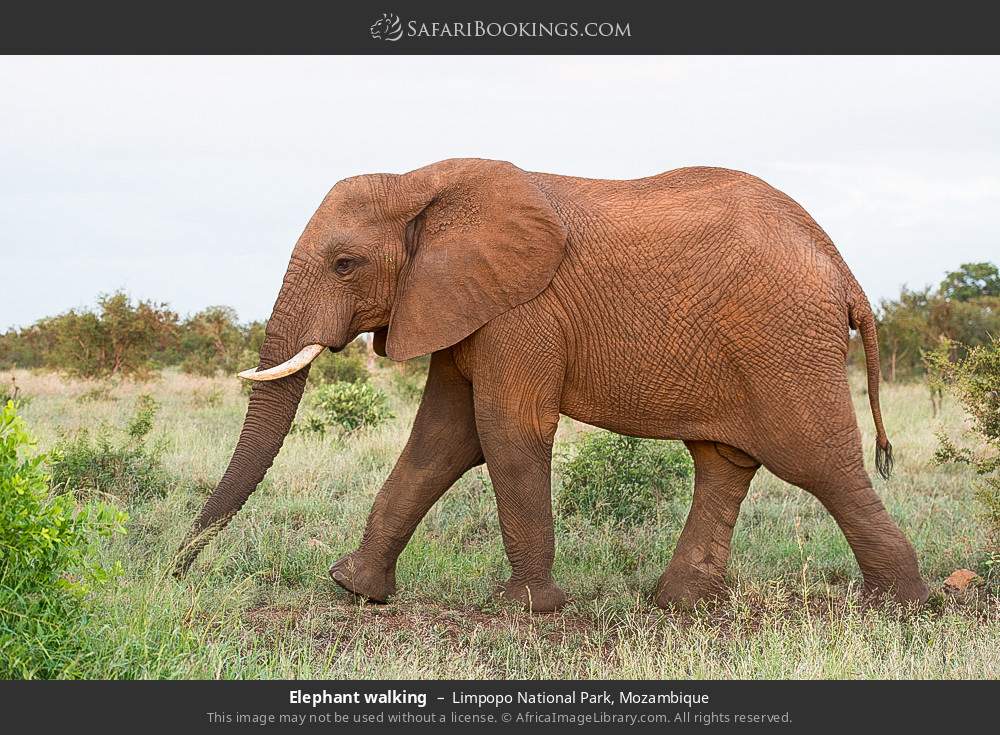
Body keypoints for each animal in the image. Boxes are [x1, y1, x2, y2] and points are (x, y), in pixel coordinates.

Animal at [172, 158, 929, 612]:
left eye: (344, 263)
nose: (175, 570)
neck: (422, 180)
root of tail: (844, 271)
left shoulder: (521, 312)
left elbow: (506, 434)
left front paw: (527, 610)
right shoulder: (462, 304)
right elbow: (441, 441)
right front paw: (356, 590)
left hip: (785, 343)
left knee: (820, 462)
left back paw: (901, 603)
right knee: (724, 461)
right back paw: (676, 604)